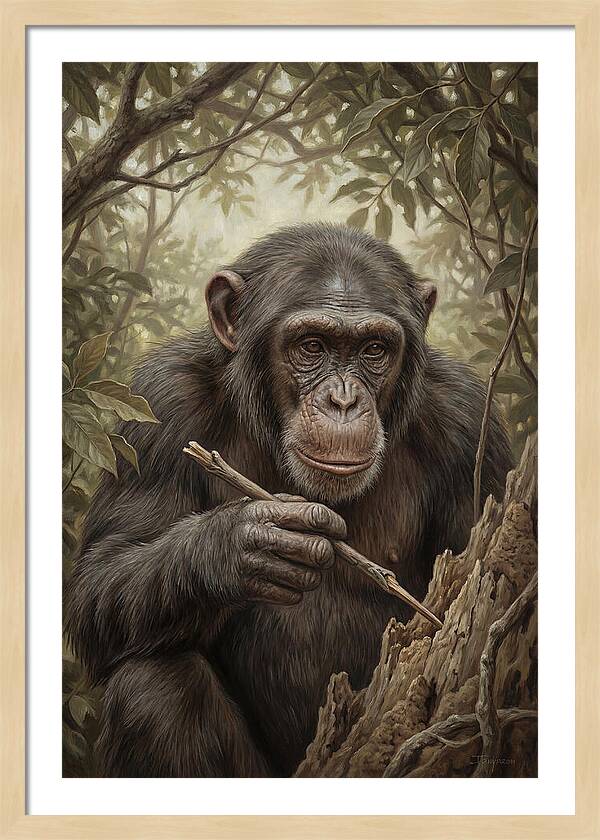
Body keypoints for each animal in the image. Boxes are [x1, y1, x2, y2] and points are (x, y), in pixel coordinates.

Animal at [65, 223, 513, 777]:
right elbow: (100, 579)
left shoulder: (470, 426)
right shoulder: (160, 402)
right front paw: (243, 546)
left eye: (373, 350)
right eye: (311, 346)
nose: (343, 400)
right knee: (153, 686)